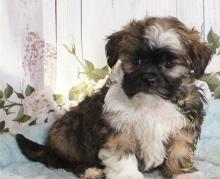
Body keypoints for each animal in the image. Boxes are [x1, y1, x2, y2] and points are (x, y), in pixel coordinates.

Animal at [15, 16, 211, 179]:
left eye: (169, 63)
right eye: (136, 60)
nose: (148, 78)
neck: (151, 103)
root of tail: (49, 147)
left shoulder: (184, 123)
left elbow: (180, 150)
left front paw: (183, 173)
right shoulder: (118, 125)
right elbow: (121, 154)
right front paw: (128, 176)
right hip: (66, 134)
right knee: (66, 161)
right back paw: (90, 170)